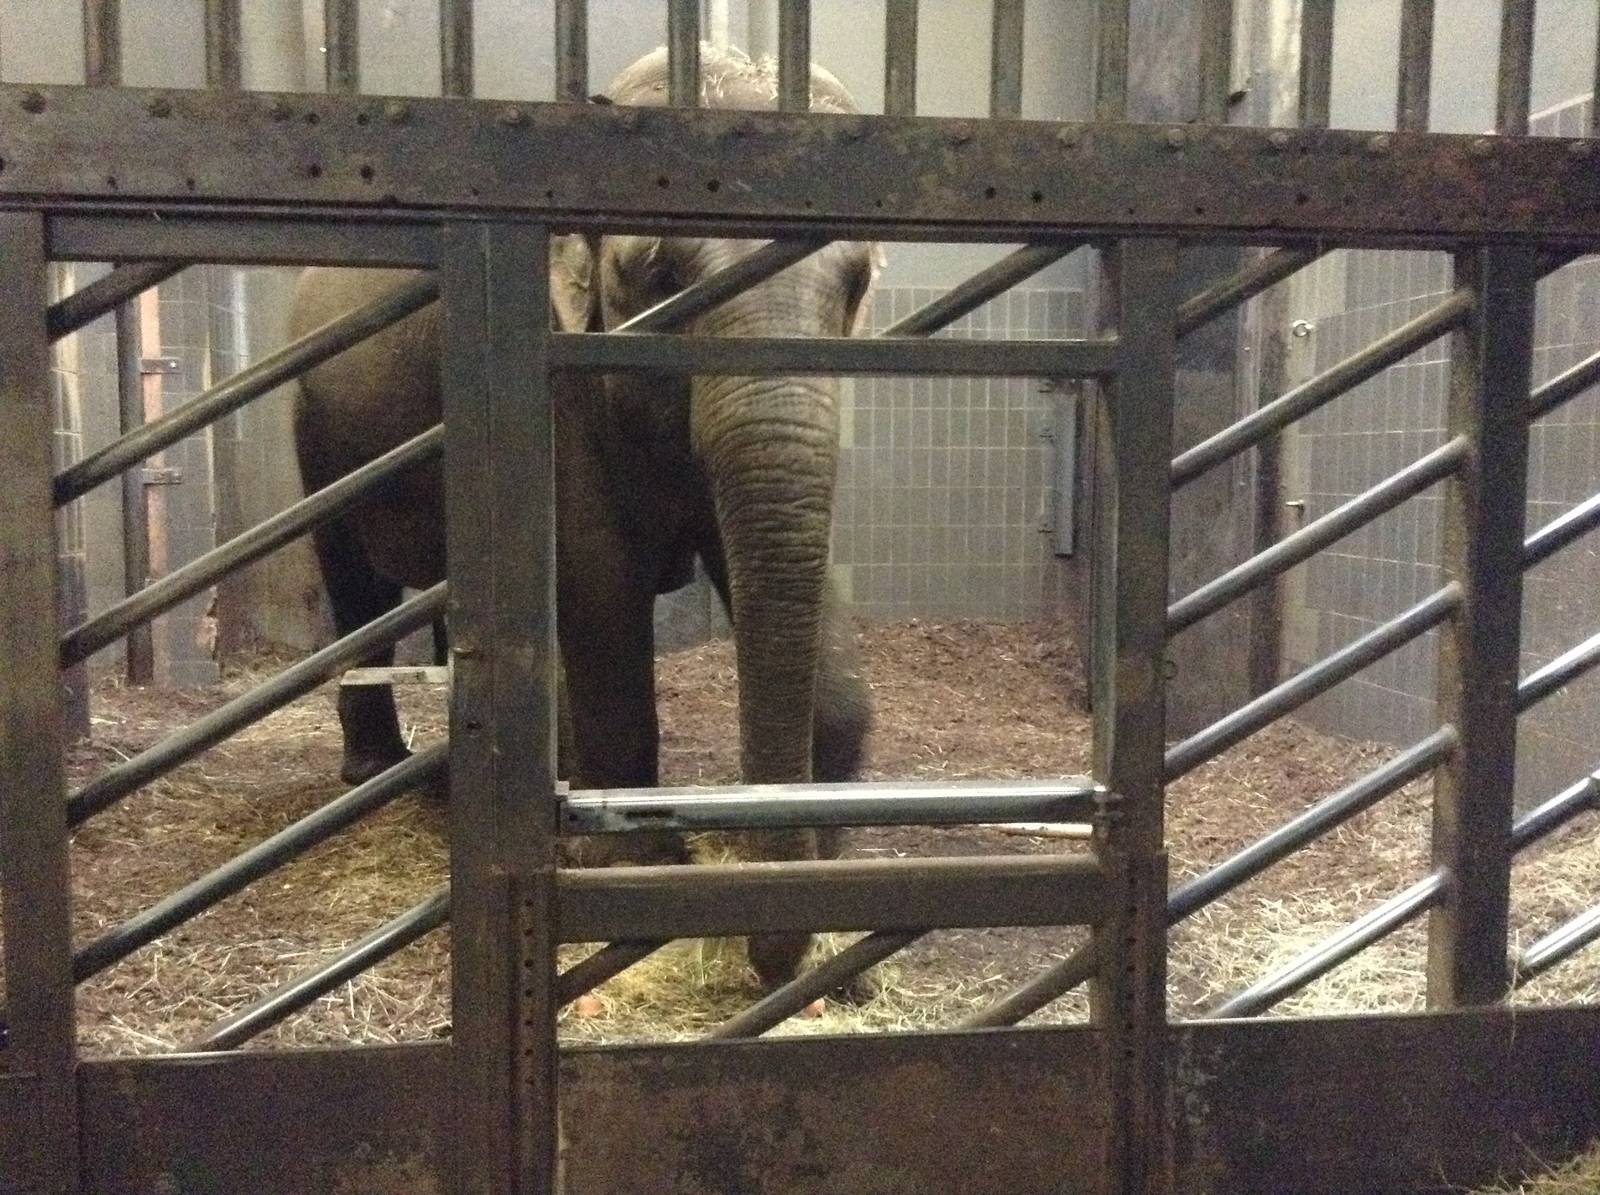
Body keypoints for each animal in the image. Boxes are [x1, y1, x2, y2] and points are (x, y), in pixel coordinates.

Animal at [291, 45, 876, 988]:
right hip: (316, 432)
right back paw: (374, 771)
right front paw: (633, 868)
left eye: (856, 285)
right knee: (355, 583)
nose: (776, 961)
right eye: (657, 278)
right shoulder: (553, 389)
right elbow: (598, 581)